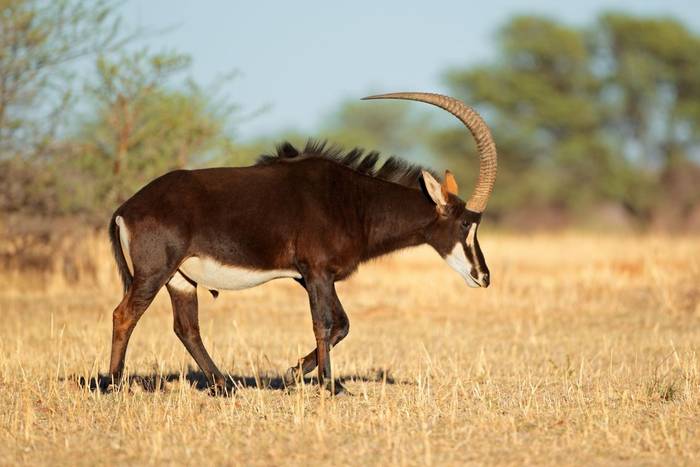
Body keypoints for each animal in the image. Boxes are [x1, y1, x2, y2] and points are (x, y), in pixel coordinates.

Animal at [107, 92, 497, 395]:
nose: (483, 276)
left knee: (186, 328)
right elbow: (325, 323)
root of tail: (126, 208)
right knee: (124, 314)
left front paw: (296, 373)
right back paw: (112, 384)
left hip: (181, 279)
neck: (354, 202)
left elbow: (340, 324)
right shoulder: (317, 272)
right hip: (155, 272)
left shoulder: (311, 277)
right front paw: (328, 385)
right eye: (466, 223)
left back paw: (224, 386)